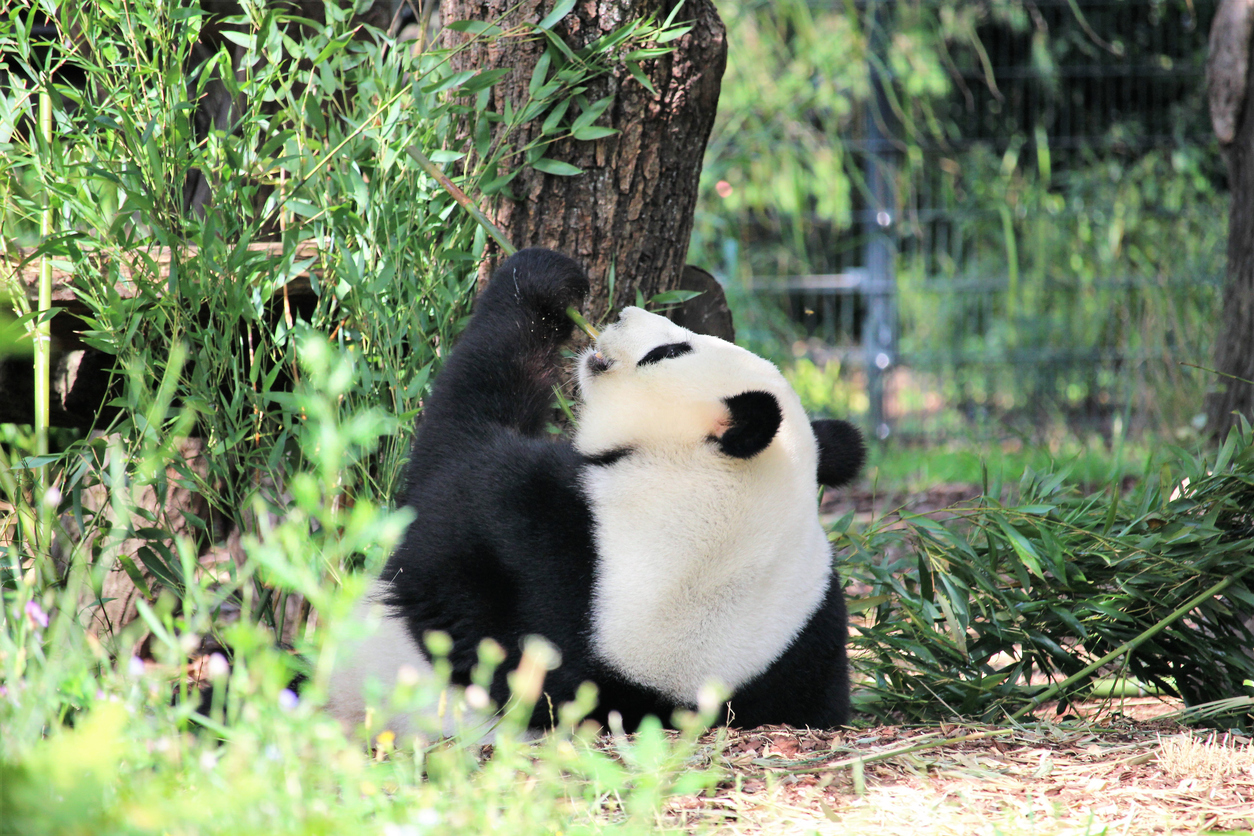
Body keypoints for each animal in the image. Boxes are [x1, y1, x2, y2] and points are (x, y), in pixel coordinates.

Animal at [328, 245, 867, 736]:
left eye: (670, 352)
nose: (625, 313)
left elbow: (457, 442)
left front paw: (543, 279)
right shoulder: (806, 648)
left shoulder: (551, 525)